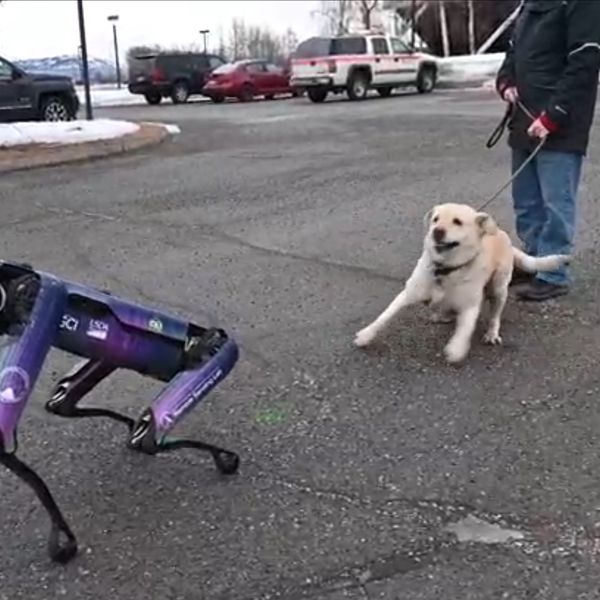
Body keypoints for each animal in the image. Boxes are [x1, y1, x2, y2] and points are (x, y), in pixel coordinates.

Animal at [354, 204, 568, 364]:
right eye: (435, 219)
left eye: (457, 222)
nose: (437, 231)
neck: (444, 269)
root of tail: (500, 234)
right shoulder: (407, 294)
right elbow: (384, 317)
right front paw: (366, 335)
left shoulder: (470, 306)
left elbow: (464, 331)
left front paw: (456, 349)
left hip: (499, 288)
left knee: (495, 316)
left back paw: (491, 333)